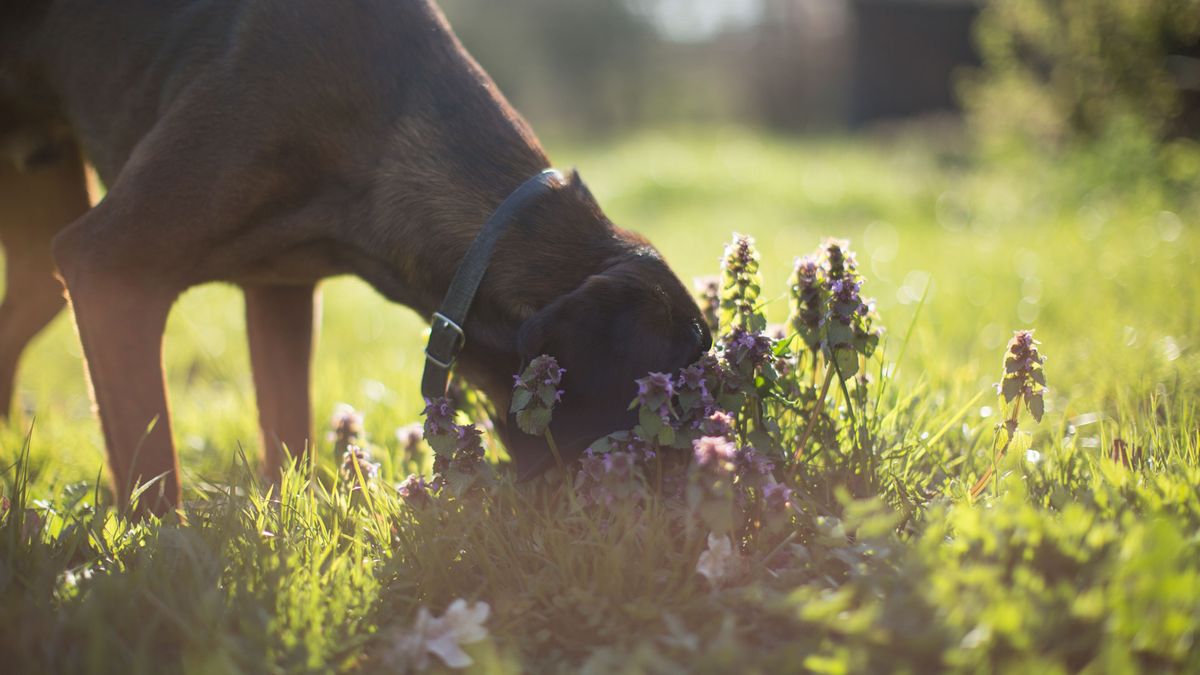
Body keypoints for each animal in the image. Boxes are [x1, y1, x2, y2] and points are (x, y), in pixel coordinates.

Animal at [0, 1, 705, 514]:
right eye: (666, 417)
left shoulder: (279, 295)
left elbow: (287, 435)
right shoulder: (109, 269)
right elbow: (152, 477)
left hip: (40, 257)